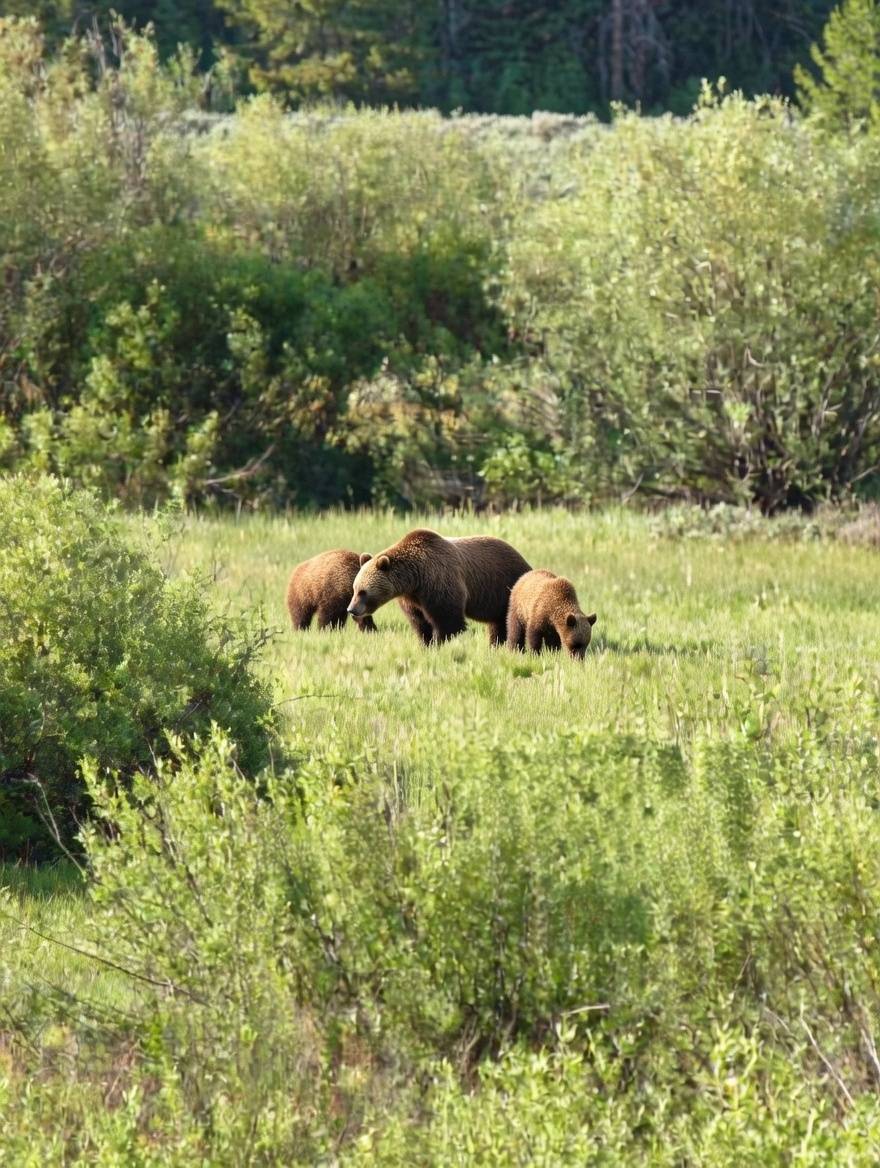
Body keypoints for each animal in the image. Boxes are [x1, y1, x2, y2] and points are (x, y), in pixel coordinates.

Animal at [346, 528, 531, 646]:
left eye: (363, 592)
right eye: (354, 589)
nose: (351, 609)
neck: (415, 578)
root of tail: (524, 560)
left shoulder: (439, 580)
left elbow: (447, 618)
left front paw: (440, 642)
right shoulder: (412, 598)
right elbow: (419, 621)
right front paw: (425, 642)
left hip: (503, 586)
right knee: (497, 623)